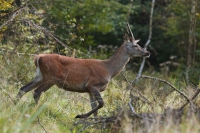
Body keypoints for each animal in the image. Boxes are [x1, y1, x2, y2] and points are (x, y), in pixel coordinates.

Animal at [16, 23, 150, 118]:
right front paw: (80, 116)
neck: (109, 70)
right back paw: (35, 111)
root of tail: (38, 57)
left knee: (23, 88)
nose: (147, 52)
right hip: (51, 77)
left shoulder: (89, 90)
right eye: (135, 45)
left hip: (40, 76)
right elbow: (102, 104)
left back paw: (14, 105)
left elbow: (95, 108)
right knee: (36, 92)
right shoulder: (93, 84)